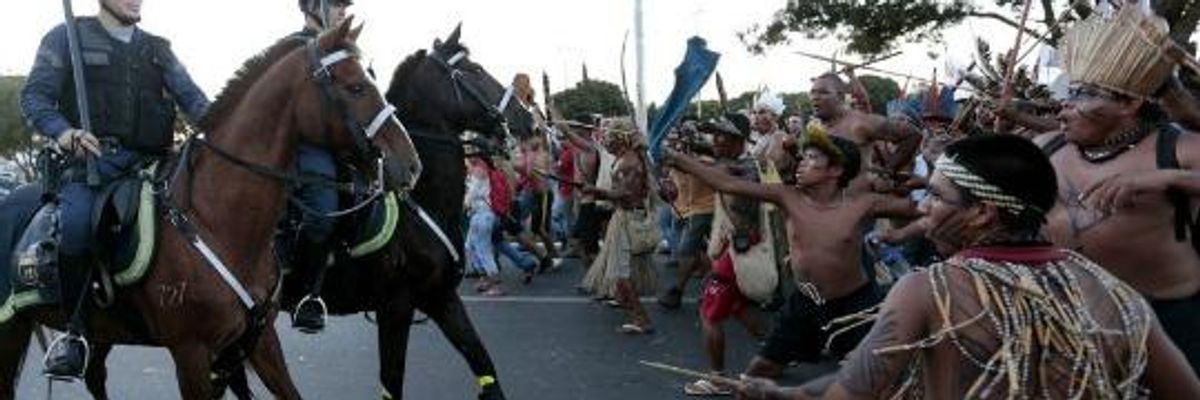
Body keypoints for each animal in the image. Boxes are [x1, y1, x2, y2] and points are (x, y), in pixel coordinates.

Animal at [0, 18, 422, 398]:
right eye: (356, 87)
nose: (410, 164)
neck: (217, 221)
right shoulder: (191, 352)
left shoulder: (258, 342)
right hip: (13, 327)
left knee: (95, 376)